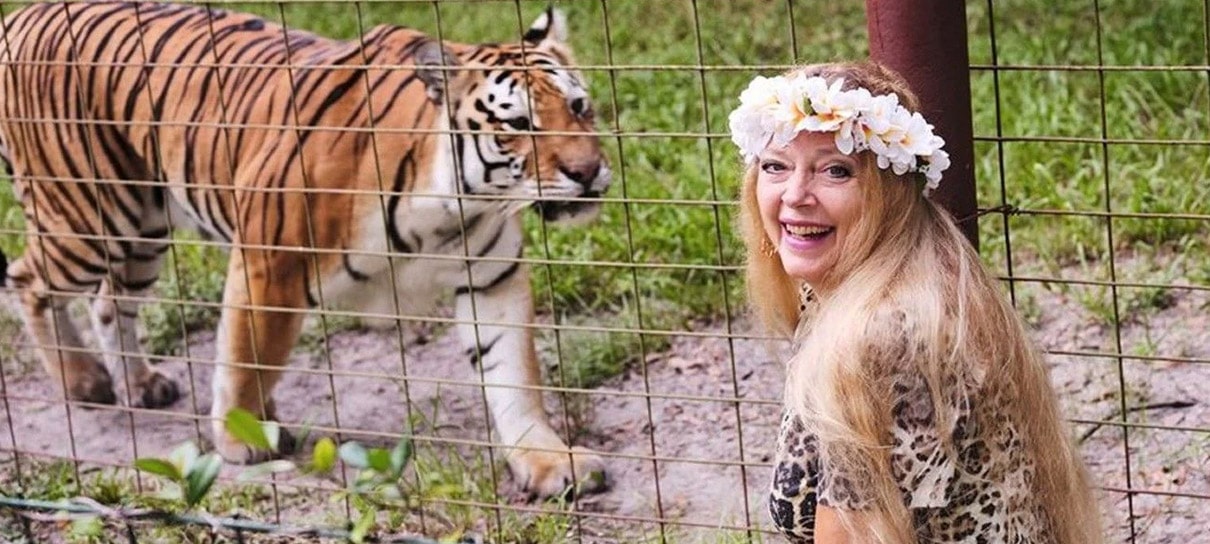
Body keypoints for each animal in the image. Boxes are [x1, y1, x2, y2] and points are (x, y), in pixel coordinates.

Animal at [0, 1, 611, 497]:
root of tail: (24, 15)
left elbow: (513, 377)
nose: (586, 172)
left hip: (142, 229)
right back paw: (83, 381)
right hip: (90, 217)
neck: (452, 205)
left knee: (109, 302)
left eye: (580, 107)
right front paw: (241, 437)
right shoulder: (270, 260)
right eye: (518, 124)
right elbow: (248, 355)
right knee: (27, 280)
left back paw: (140, 384)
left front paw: (547, 461)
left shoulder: (491, 278)